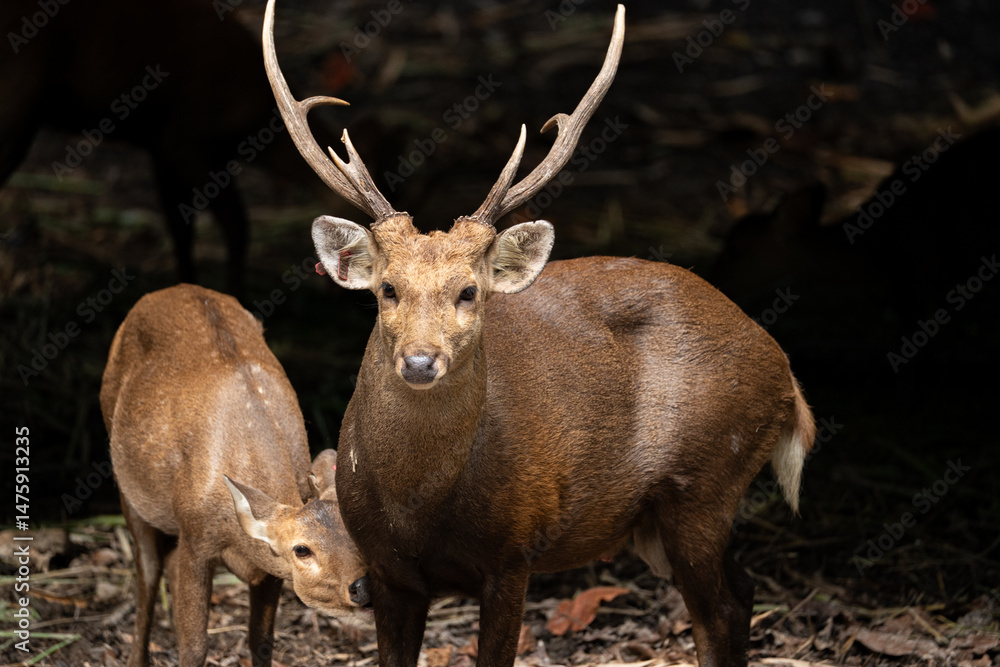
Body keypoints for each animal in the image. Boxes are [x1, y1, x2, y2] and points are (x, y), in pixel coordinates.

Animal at [100, 283, 371, 667]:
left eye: (355, 531)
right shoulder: (195, 537)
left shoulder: (266, 566)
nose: (362, 586)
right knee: (147, 572)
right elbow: (195, 646)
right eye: (301, 550)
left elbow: (261, 639)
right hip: (126, 482)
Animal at [264, 1, 815, 666]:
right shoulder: (386, 571)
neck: (417, 509)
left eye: (469, 291)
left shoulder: (513, 551)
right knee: (740, 593)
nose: (420, 362)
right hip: (663, 517)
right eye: (387, 289)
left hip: (707, 481)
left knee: (722, 609)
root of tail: (785, 375)